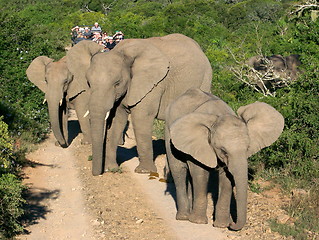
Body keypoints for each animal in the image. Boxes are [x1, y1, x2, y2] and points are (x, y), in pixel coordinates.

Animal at [67, 33, 212, 175]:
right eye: (88, 83)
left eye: (117, 83)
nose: (98, 173)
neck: (122, 53)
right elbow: (117, 120)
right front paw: (110, 168)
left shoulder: (153, 84)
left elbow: (141, 118)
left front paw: (144, 171)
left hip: (205, 80)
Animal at [165, 88, 284, 231]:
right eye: (223, 151)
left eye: (248, 148)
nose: (233, 224)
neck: (219, 115)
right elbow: (200, 174)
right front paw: (198, 222)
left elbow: (227, 179)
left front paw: (222, 225)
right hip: (168, 133)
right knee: (179, 170)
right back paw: (183, 217)